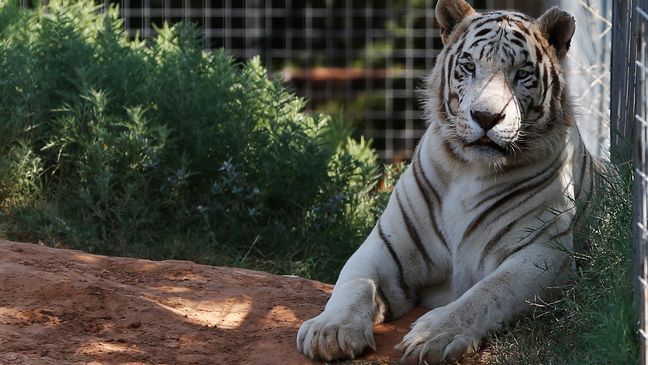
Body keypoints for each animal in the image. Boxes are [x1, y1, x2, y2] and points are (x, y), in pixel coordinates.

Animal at [296, 1, 596, 362]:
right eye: (469, 66)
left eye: (521, 73)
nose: (486, 117)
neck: (471, 170)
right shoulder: (385, 246)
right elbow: (353, 284)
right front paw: (330, 331)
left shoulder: (544, 253)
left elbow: (487, 293)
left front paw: (432, 335)